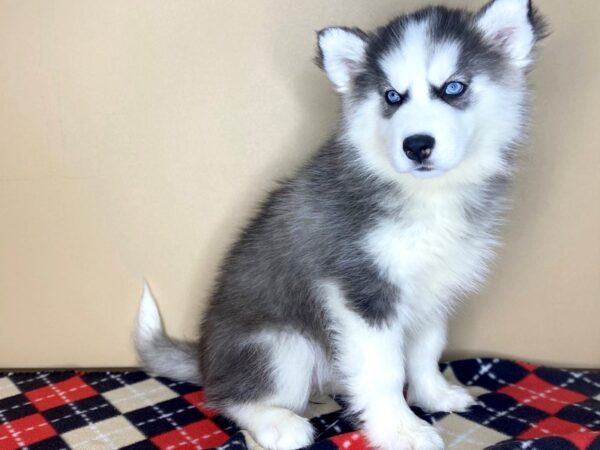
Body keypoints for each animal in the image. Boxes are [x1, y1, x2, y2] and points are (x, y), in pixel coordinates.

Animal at [134, 1, 548, 448]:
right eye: (392, 96)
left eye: (453, 88)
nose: (416, 146)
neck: (428, 195)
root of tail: (205, 358)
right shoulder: (362, 292)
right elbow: (385, 371)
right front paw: (400, 429)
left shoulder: (434, 288)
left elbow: (426, 350)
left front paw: (433, 394)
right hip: (282, 346)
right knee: (229, 397)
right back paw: (278, 423)